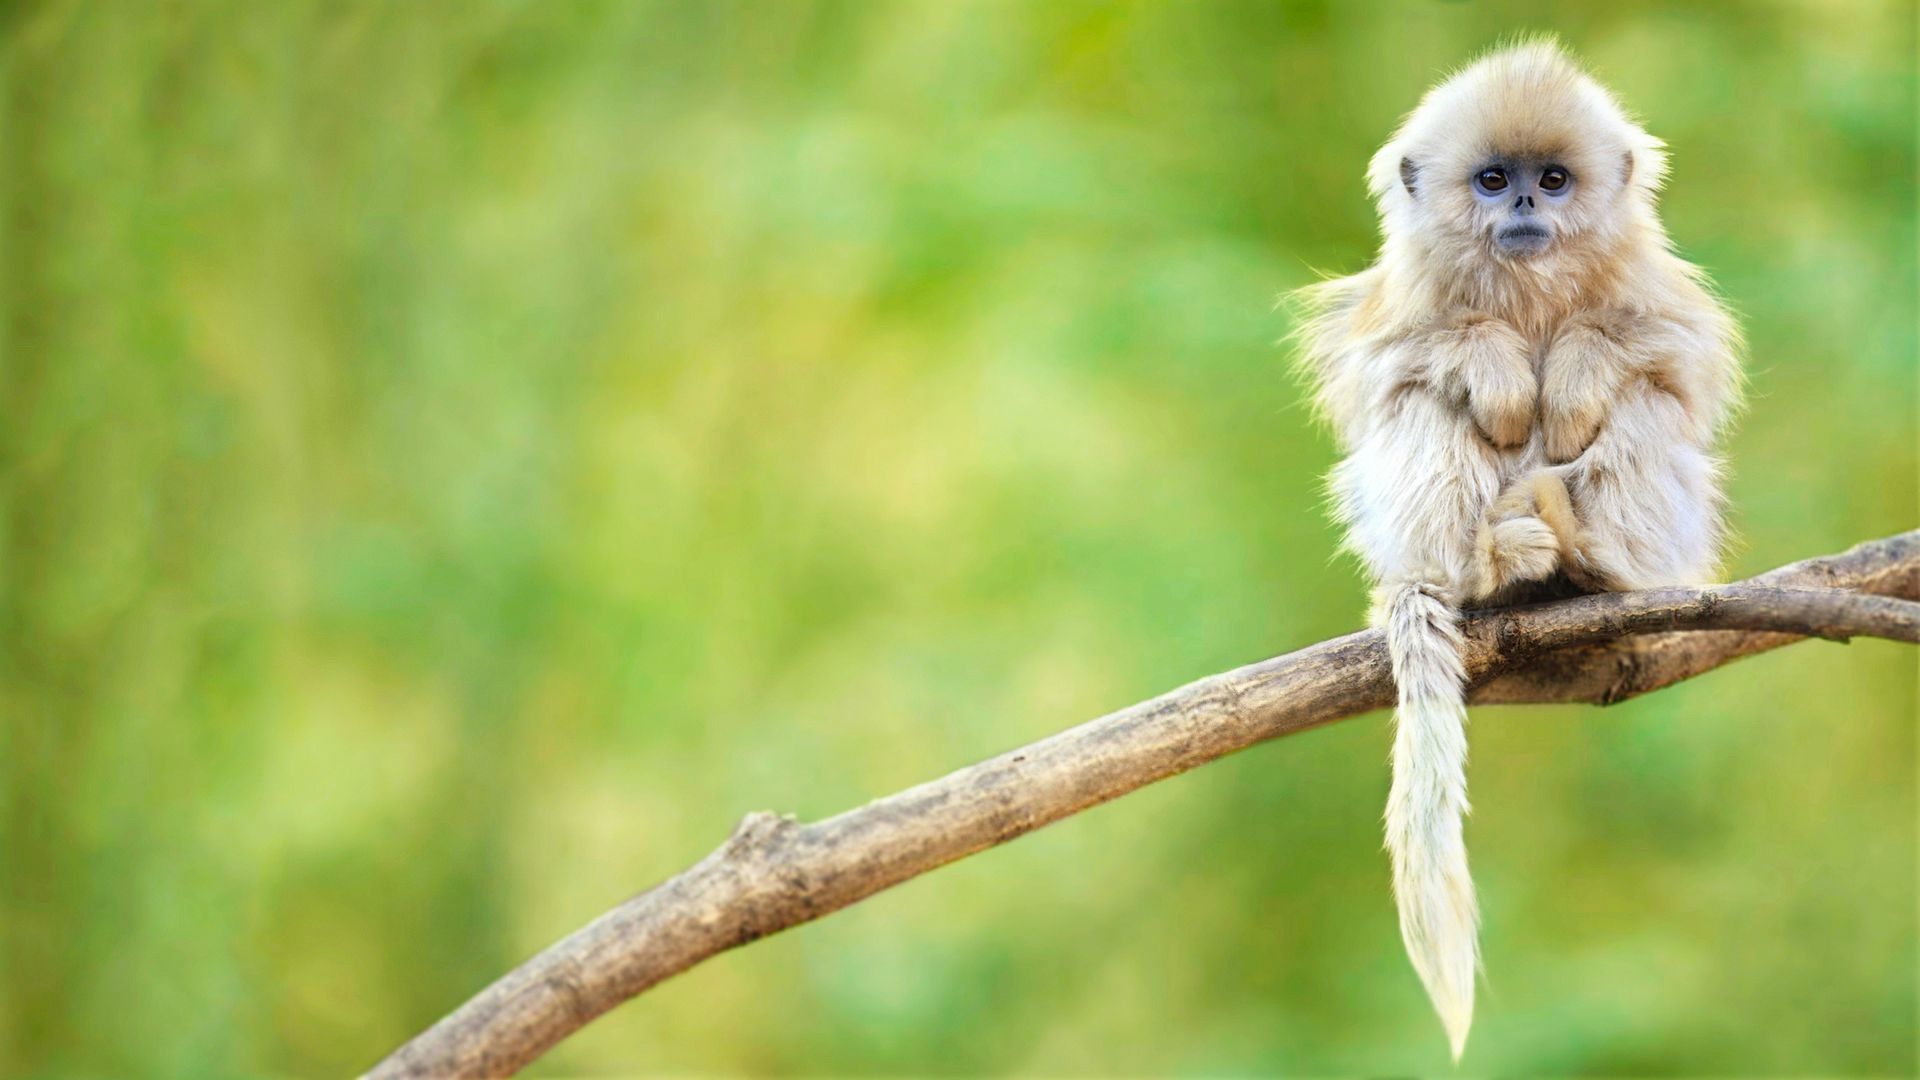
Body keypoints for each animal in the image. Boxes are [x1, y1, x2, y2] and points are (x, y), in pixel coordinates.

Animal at [1292, 41, 1741, 1058]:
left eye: (1555, 179)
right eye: (1493, 180)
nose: (1526, 204)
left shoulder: (1658, 296)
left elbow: (1670, 360)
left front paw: (1570, 375)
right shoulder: (1395, 310)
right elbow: (1401, 366)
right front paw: (1497, 367)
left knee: (1643, 406)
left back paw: (1592, 560)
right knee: (1423, 406)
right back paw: (1491, 567)